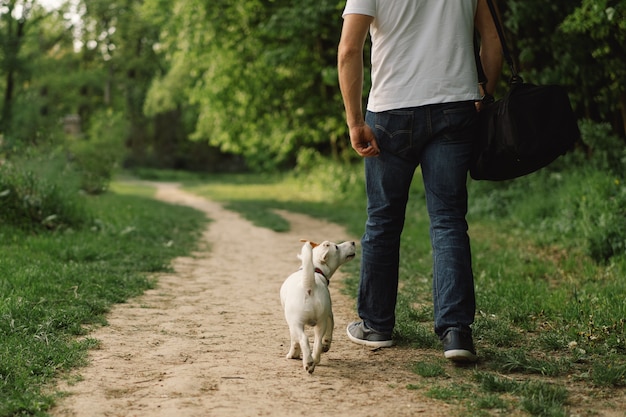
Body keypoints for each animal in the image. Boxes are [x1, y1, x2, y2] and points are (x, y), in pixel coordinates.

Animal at [280, 239, 354, 372]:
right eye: (336, 247)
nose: (353, 242)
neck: (316, 269)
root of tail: (310, 286)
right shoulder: (329, 314)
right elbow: (329, 333)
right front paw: (326, 345)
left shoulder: (291, 324)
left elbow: (295, 340)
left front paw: (293, 355)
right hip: (321, 322)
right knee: (318, 342)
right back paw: (314, 360)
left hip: (296, 323)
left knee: (304, 339)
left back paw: (308, 363)